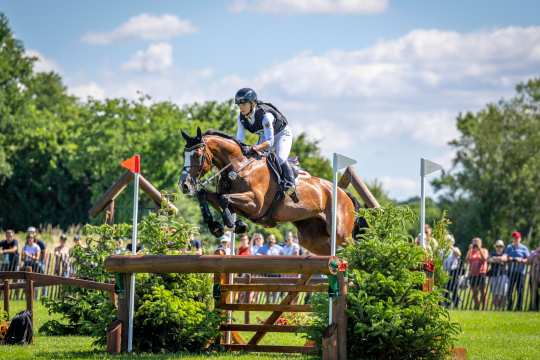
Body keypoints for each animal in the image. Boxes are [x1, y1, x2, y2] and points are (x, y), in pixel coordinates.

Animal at [179, 128, 360, 255]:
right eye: (184, 154)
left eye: (197, 154)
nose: (184, 185)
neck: (239, 166)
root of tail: (345, 195)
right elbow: (207, 195)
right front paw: (218, 226)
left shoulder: (255, 204)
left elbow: (224, 199)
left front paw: (233, 223)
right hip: (312, 239)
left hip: (340, 233)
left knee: (351, 247)